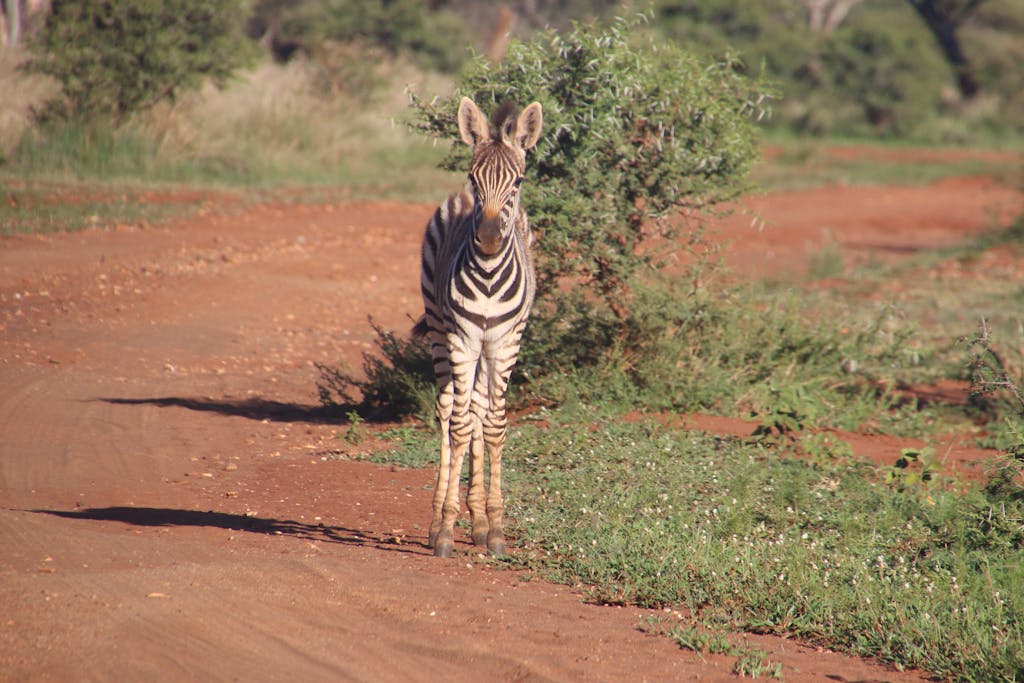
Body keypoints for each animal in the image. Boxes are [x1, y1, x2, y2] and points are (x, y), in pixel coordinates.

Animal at [419, 96, 543, 558]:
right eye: (474, 177)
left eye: (519, 180)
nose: (489, 239)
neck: (489, 275)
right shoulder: (462, 339)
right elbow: (458, 427)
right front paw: (445, 529)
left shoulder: (505, 343)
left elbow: (492, 425)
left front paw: (495, 527)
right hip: (439, 331)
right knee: (448, 411)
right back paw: (441, 517)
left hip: (490, 348)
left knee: (475, 407)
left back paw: (477, 520)